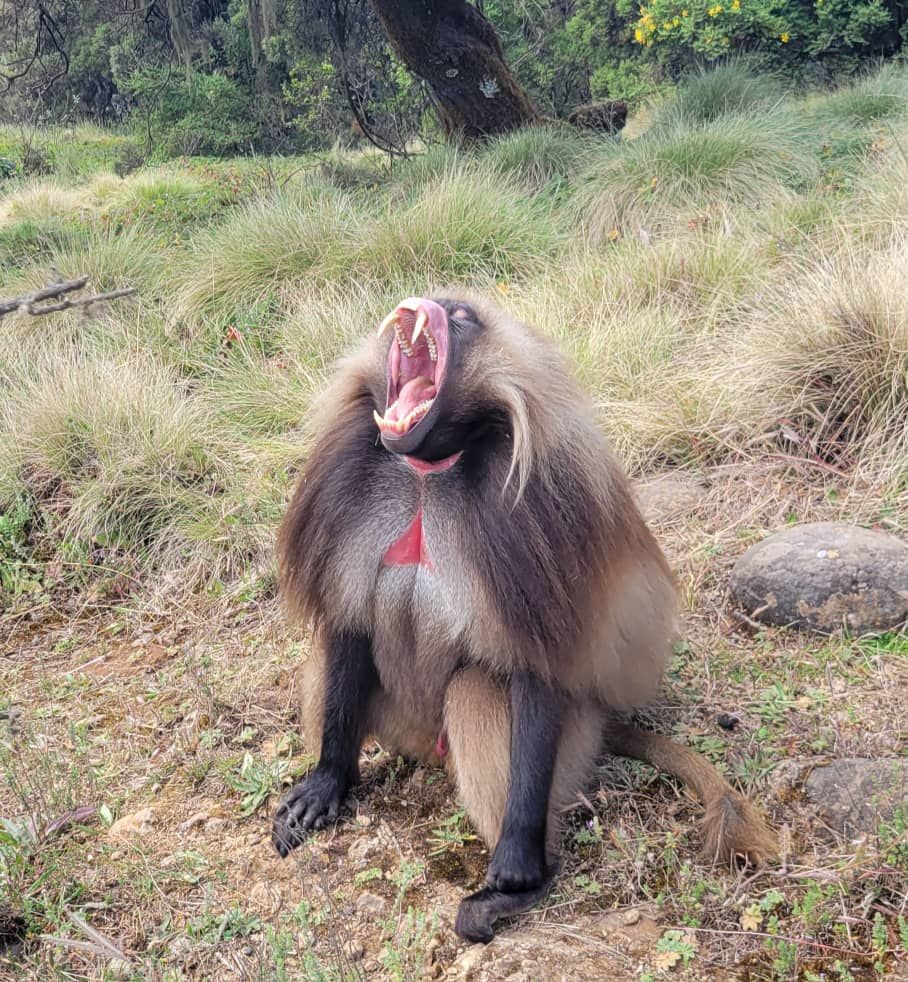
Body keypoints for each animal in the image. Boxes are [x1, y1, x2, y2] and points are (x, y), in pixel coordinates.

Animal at [271, 294, 777, 943]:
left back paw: (516, 890)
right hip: (395, 725)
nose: (423, 302)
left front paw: (514, 868)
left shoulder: (536, 510)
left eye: (461, 313)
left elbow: (536, 672)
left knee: (476, 690)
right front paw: (328, 780)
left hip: (571, 741)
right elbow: (347, 625)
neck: (428, 473)